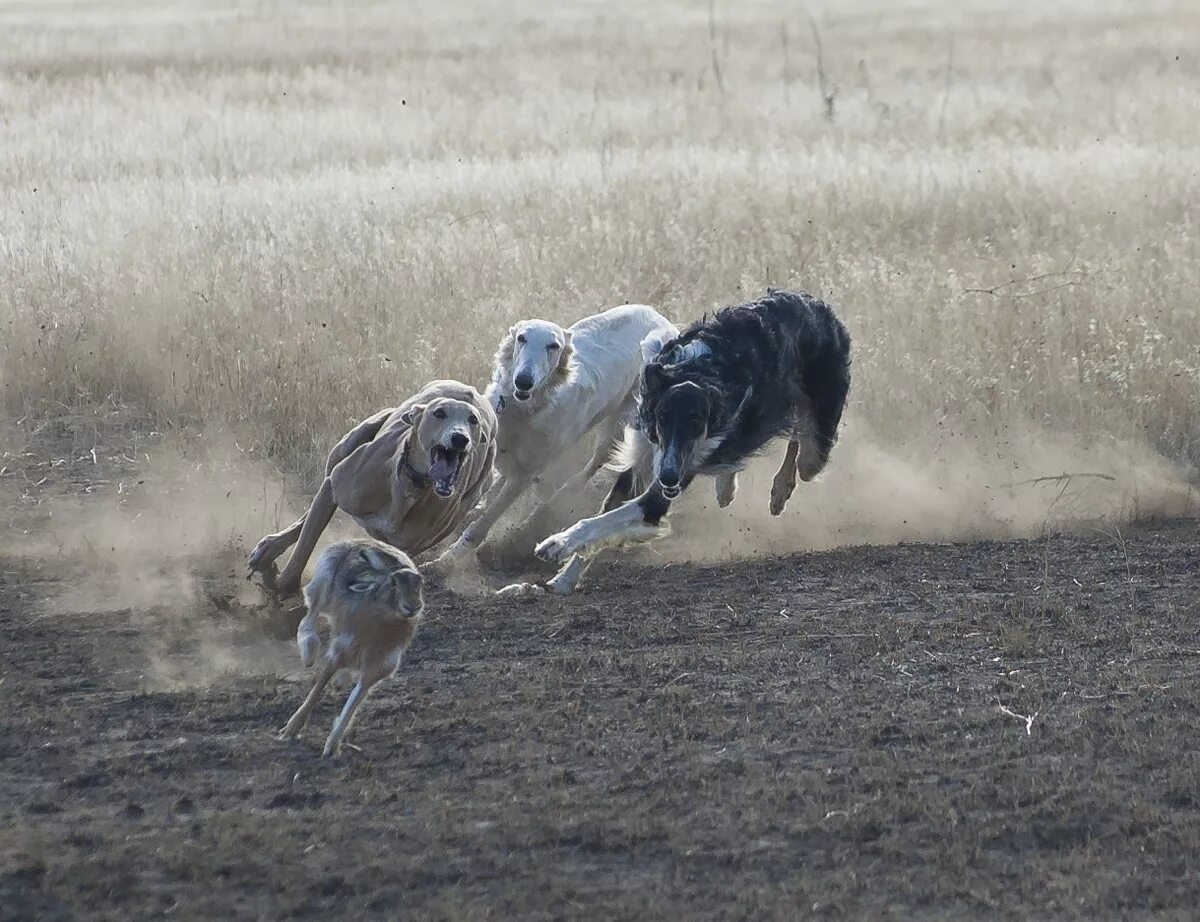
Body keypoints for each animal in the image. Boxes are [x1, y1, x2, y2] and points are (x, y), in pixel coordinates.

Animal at [248, 379, 496, 597]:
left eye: (473, 420)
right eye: (439, 413)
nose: (460, 438)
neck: (409, 488)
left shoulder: (404, 547)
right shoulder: (336, 484)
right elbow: (304, 546)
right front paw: (283, 588)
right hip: (349, 444)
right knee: (312, 510)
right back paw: (269, 548)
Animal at [278, 540, 424, 758]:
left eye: (419, 583)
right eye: (393, 583)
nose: (413, 606)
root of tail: (353, 542)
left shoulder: (375, 670)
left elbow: (352, 704)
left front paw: (331, 747)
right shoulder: (339, 653)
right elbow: (317, 689)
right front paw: (291, 729)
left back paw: (340, 681)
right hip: (323, 585)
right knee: (310, 615)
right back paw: (309, 651)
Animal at [434, 302, 681, 590]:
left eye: (553, 346)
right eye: (522, 338)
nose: (523, 381)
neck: (524, 411)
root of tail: (661, 319)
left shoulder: (525, 474)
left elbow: (484, 522)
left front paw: (447, 559)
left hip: (620, 431)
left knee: (589, 468)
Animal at [535, 285, 854, 590]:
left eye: (696, 423)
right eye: (662, 418)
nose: (669, 478)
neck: (695, 371)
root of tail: (820, 307)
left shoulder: (661, 490)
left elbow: (598, 523)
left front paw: (557, 543)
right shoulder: (644, 456)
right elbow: (604, 517)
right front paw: (564, 580)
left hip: (813, 445)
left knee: (801, 444)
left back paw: (779, 490)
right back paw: (728, 486)